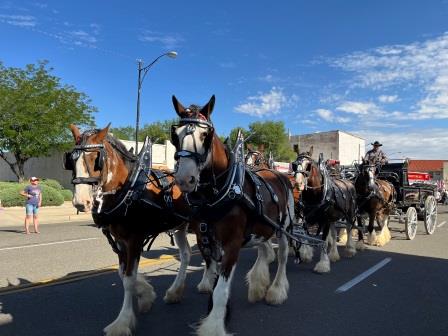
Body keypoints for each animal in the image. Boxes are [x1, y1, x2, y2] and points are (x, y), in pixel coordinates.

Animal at [171, 95, 294, 336]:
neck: (219, 192)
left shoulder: (233, 243)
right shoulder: (206, 240)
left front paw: (214, 327)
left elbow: (221, 289)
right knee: (263, 250)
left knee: (283, 256)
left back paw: (275, 291)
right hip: (261, 227)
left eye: (205, 135)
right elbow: (213, 279)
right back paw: (258, 285)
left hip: (283, 228)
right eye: (176, 135)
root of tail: (280, 174)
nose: (184, 179)